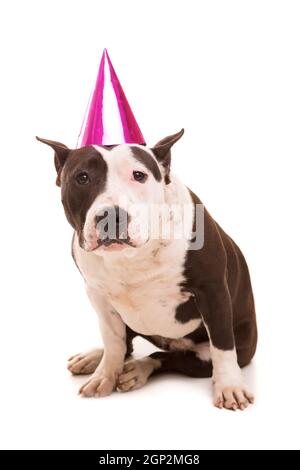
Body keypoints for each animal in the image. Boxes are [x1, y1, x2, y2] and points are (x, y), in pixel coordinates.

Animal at [37, 129, 258, 412]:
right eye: (82, 177)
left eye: (139, 175)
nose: (112, 215)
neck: (132, 257)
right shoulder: (97, 295)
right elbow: (113, 340)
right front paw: (105, 374)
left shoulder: (213, 291)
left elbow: (222, 346)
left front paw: (230, 386)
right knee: (128, 343)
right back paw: (96, 357)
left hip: (225, 348)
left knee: (170, 358)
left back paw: (139, 369)